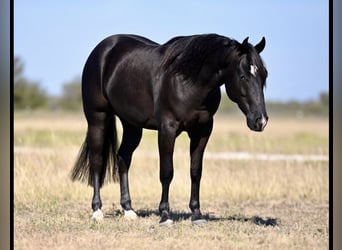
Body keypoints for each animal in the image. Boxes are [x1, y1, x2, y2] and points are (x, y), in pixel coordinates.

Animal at [71, 33, 268, 225]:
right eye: (243, 76)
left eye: (264, 75)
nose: (261, 121)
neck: (188, 82)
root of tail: (103, 48)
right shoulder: (167, 129)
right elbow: (166, 172)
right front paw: (165, 215)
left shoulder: (202, 130)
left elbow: (195, 171)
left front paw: (196, 214)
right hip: (97, 118)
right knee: (97, 161)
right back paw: (97, 211)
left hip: (132, 125)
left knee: (123, 158)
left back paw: (129, 210)